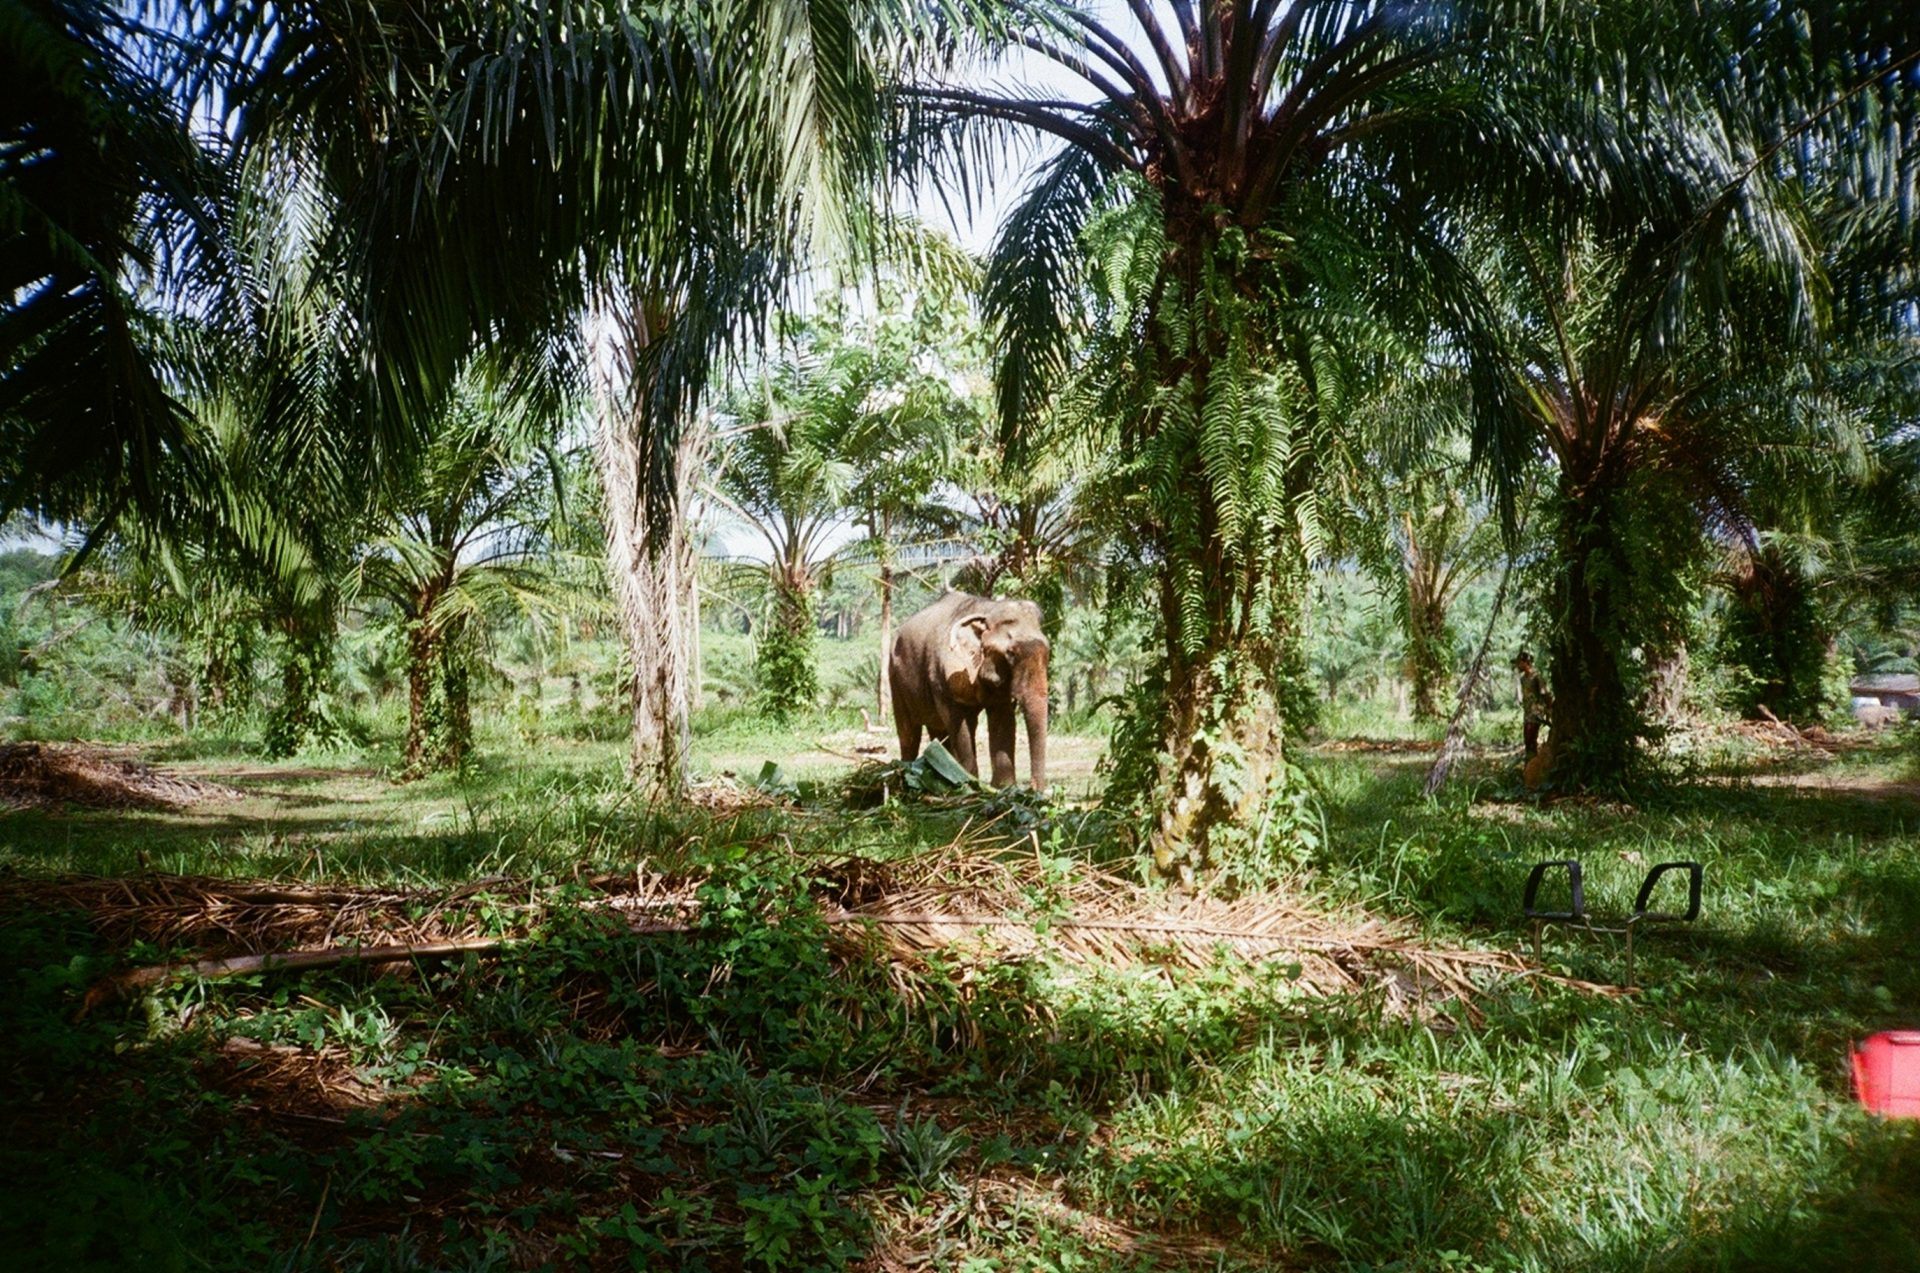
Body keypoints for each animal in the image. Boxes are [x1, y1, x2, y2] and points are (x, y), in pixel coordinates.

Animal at [888, 591, 1049, 791]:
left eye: (1048, 651)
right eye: (1010, 653)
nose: (1034, 789)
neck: (987, 610)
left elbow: (1003, 720)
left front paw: (1003, 788)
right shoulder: (945, 675)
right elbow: (957, 723)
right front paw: (970, 785)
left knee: (939, 731)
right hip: (895, 679)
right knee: (909, 733)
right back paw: (906, 773)